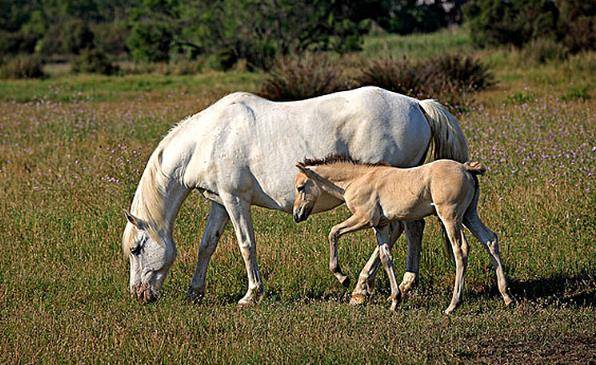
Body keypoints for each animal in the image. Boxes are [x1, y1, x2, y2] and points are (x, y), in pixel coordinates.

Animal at [120, 86, 466, 304]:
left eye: (136, 249)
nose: (139, 295)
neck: (209, 138)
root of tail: (417, 104)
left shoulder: (235, 200)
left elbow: (246, 245)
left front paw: (251, 295)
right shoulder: (220, 202)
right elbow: (207, 246)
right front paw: (195, 291)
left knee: (395, 231)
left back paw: (360, 287)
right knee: (413, 229)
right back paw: (404, 284)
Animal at [294, 156, 512, 312]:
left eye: (300, 187)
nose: (297, 215)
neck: (358, 179)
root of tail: (466, 168)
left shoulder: (364, 219)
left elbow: (333, 233)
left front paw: (342, 277)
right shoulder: (380, 226)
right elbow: (385, 257)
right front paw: (395, 301)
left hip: (450, 217)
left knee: (461, 250)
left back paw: (453, 305)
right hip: (469, 215)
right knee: (490, 240)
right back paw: (507, 297)